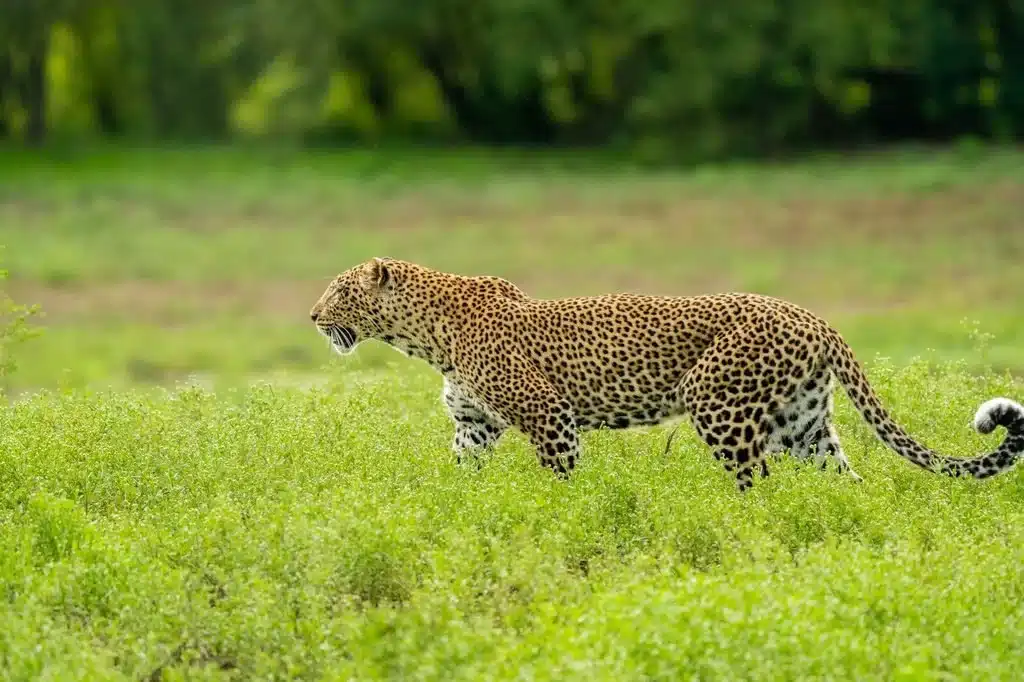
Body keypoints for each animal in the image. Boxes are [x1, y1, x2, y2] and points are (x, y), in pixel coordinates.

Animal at [309, 257, 1024, 491]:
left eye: (339, 290)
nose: (312, 315)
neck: (424, 336)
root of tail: (815, 317)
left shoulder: (550, 417)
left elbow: (563, 481)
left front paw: (565, 516)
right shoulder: (474, 426)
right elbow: (462, 473)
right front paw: (456, 507)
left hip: (719, 404)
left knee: (755, 484)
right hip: (804, 424)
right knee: (843, 482)